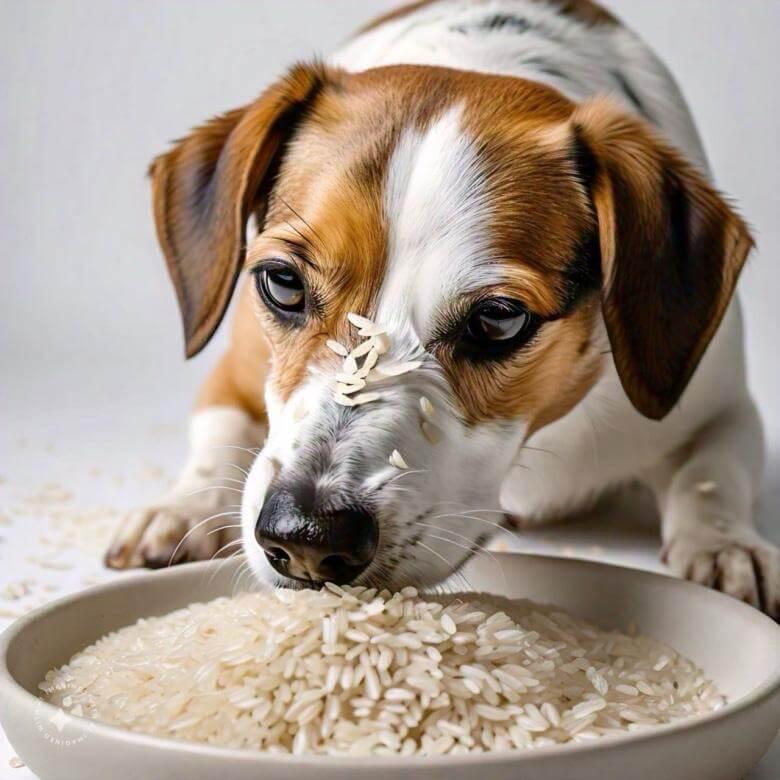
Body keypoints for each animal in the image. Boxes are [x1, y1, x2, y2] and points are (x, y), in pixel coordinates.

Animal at [105, 1, 780, 616]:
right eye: (283, 283)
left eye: (499, 318)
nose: (307, 537)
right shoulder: (235, 374)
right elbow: (218, 432)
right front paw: (181, 506)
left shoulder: (717, 402)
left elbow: (713, 471)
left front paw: (725, 544)